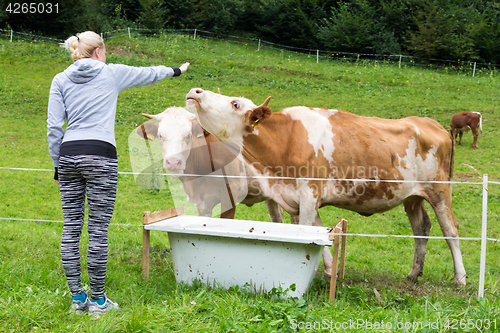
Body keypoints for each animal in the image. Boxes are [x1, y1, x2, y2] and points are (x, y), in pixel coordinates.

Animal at [186, 89, 466, 286]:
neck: (284, 143)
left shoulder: (309, 194)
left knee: (450, 230)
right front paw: (330, 272)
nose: (196, 91)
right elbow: (318, 233)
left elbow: (305, 232)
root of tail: (431, 123)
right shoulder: (297, 200)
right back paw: (413, 273)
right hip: (412, 196)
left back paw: (460, 278)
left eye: (235, 103)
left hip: (440, 191)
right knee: (421, 228)